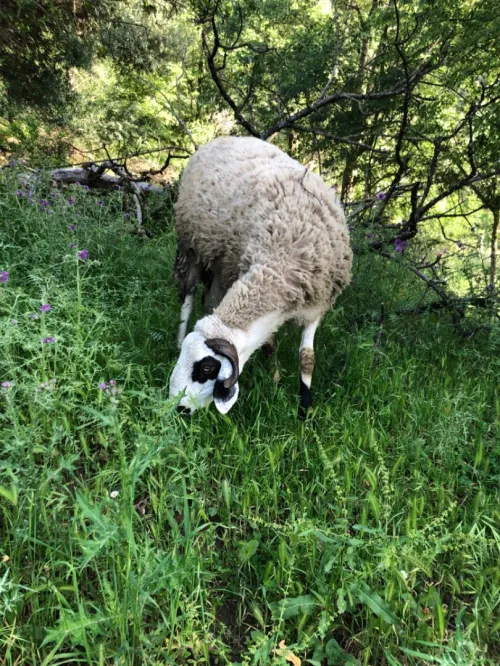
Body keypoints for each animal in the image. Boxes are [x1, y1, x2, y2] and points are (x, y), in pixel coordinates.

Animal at [169, 136, 352, 416]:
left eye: (207, 367)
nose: (177, 409)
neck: (283, 261)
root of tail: (228, 137)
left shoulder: (316, 306)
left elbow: (307, 358)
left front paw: (305, 408)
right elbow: (269, 344)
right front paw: (275, 381)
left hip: (220, 263)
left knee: (209, 300)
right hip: (192, 246)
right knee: (188, 298)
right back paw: (179, 336)